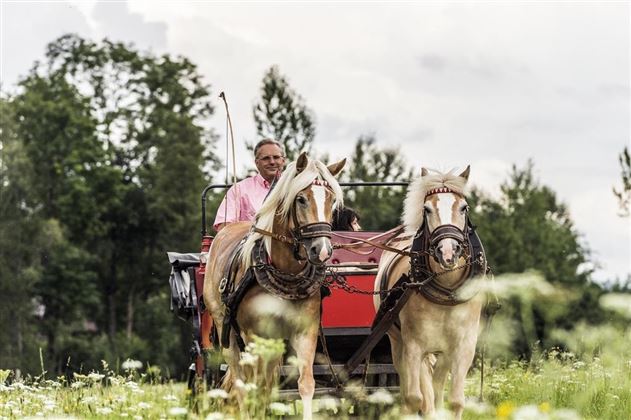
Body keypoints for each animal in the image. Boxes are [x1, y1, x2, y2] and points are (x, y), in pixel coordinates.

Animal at [204, 153, 346, 420]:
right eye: (301, 199)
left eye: (332, 199)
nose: (322, 251)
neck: (285, 271)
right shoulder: (255, 336)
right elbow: (255, 387)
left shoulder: (306, 332)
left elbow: (306, 385)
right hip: (226, 330)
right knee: (241, 381)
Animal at [372, 166, 486, 418]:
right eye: (427, 209)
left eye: (463, 207)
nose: (448, 252)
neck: (447, 291)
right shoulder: (414, 346)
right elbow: (416, 398)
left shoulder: (464, 346)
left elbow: (456, 401)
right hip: (397, 341)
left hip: (444, 351)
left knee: (437, 383)